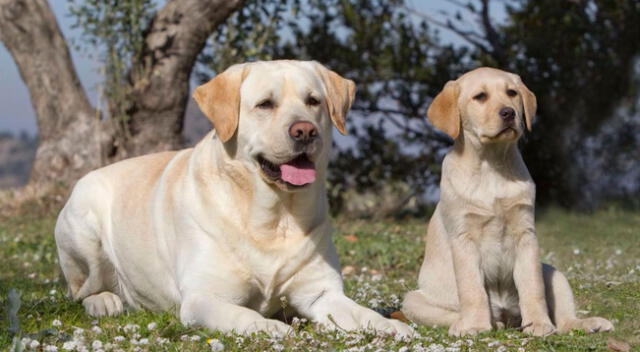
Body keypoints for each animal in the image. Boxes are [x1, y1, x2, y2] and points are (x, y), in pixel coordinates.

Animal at [57, 59, 412, 336]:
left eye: (313, 101)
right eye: (265, 104)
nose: (305, 131)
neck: (276, 217)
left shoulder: (322, 293)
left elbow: (361, 312)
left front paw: (391, 325)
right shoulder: (204, 297)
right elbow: (245, 315)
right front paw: (271, 327)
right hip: (83, 225)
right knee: (83, 288)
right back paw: (104, 300)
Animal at [402, 67, 612, 336]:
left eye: (512, 93)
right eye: (480, 97)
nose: (509, 113)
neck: (492, 165)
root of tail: (504, 312)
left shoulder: (526, 234)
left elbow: (533, 287)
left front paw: (539, 324)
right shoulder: (463, 239)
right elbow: (472, 289)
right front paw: (476, 325)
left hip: (553, 272)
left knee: (564, 319)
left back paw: (587, 323)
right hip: (413, 300)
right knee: (452, 312)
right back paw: (476, 323)